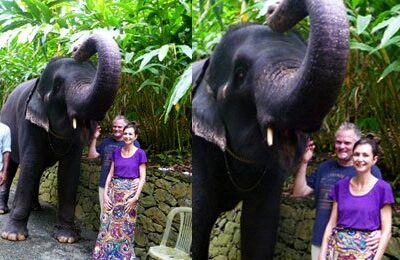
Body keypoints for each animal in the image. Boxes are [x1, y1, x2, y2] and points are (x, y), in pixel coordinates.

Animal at [0, 33, 120, 243]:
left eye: (92, 76)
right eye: (57, 87)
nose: (76, 48)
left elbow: (70, 170)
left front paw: (67, 237)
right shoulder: (28, 123)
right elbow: (31, 162)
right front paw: (13, 235)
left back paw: (36, 207)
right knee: (14, 166)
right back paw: (3, 209)